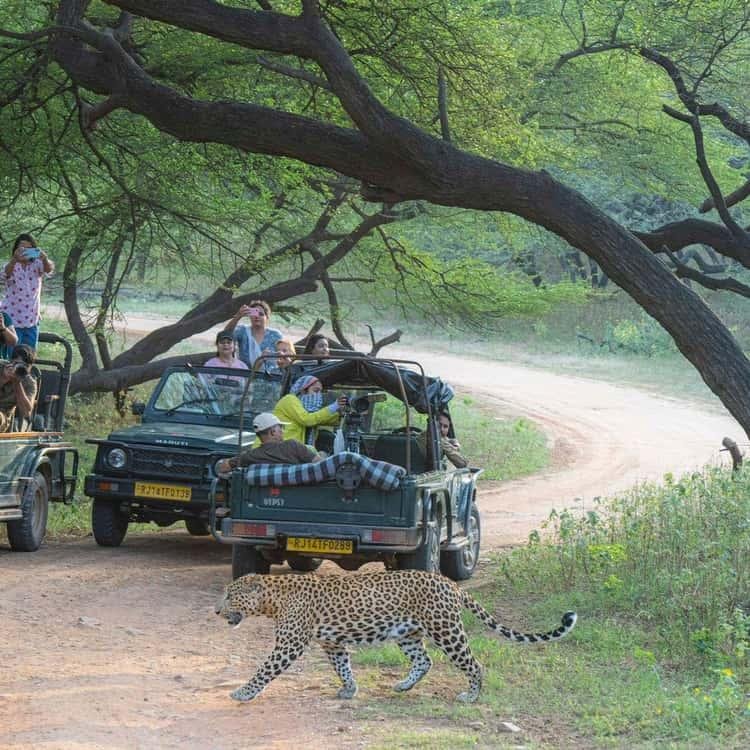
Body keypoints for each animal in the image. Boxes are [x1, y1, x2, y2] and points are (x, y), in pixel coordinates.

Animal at [215, 569, 577, 703]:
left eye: (230, 596)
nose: (216, 611)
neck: (272, 599)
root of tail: (451, 583)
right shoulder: (333, 643)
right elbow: (343, 667)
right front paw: (349, 690)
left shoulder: (288, 645)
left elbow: (264, 670)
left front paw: (242, 692)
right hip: (408, 633)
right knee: (425, 660)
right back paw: (404, 686)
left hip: (446, 629)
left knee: (474, 664)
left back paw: (471, 696)